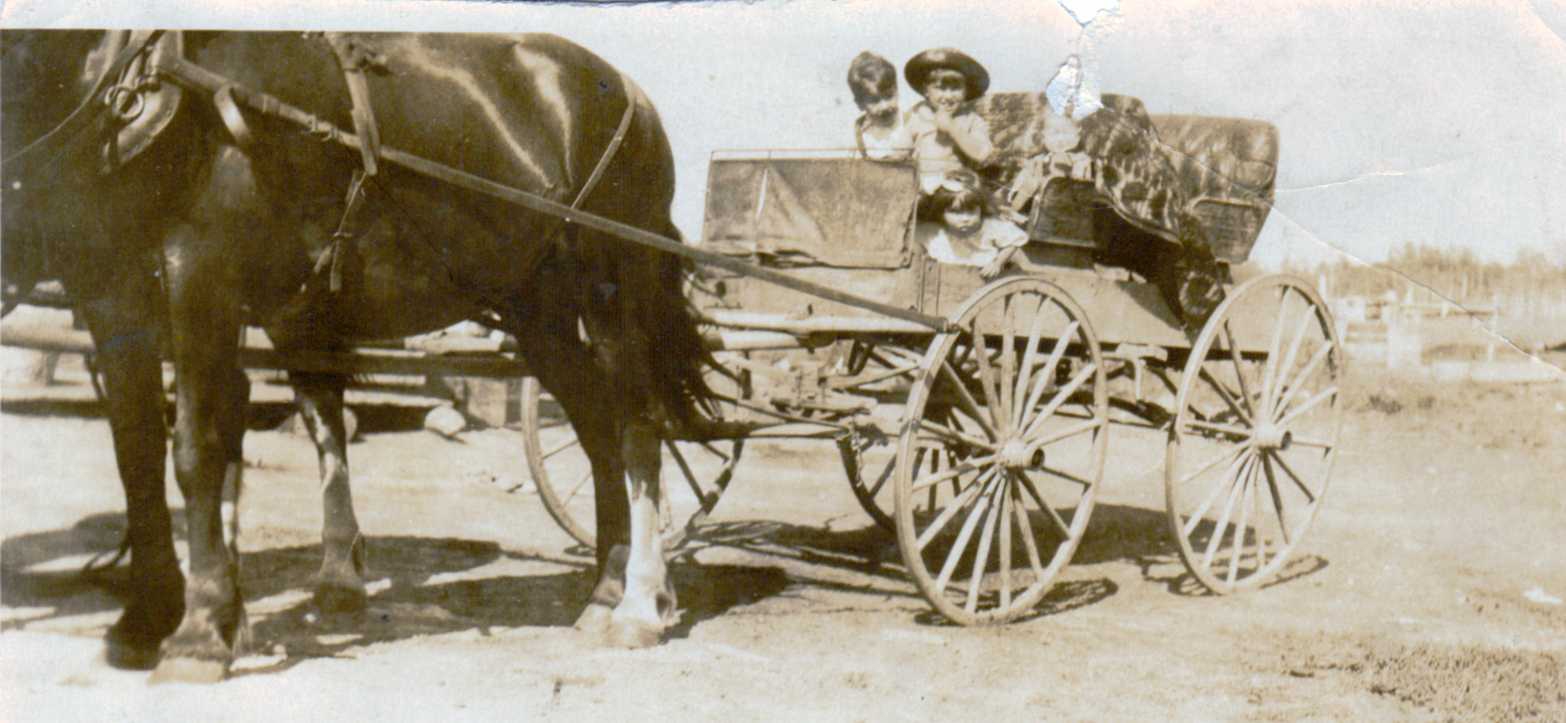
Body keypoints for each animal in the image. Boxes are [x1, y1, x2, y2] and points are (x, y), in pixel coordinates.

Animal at [1, 29, 710, 682]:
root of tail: (629, 91)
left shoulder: (202, 275)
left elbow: (197, 451)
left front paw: (199, 634)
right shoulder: (109, 293)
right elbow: (138, 454)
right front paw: (150, 620)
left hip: (614, 284)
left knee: (638, 425)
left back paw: (641, 603)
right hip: (537, 307)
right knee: (596, 429)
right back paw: (605, 588)